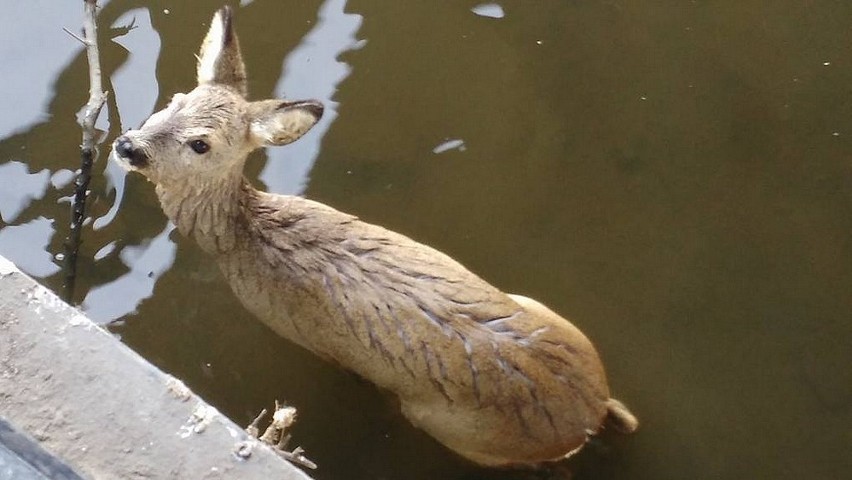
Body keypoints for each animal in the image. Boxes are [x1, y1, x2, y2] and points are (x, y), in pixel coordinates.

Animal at [110, 6, 636, 464]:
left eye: (201, 144)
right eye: (174, 101)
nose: (126, 145)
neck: (245, 242)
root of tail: (589, 413)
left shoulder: (308, 338)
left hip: (452, 428)